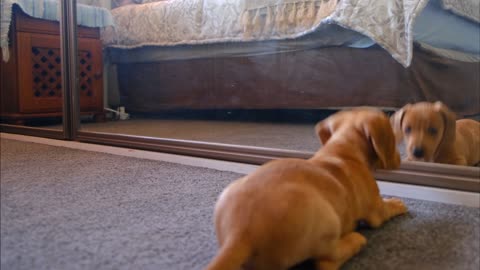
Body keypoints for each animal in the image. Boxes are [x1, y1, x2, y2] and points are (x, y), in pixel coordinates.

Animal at [204, 107, 406, 270]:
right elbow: (386, 208)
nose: (400, 159)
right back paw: (356, 240)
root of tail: (240, 234)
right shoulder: (377, 211)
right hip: (328, 220)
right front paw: (397, 203)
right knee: (326, 262)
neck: (344, 150)